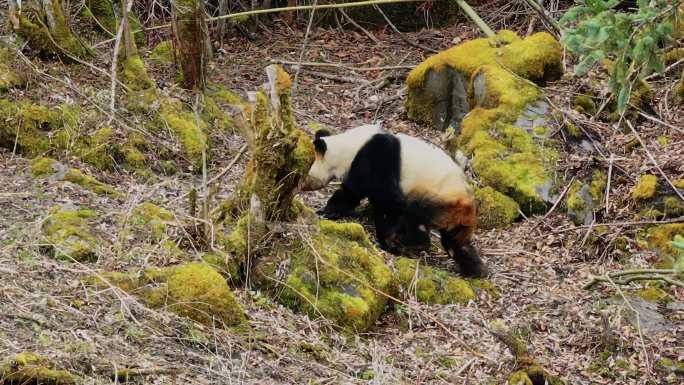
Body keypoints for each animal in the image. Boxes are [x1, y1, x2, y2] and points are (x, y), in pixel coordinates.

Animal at [300, 123, 486, 276]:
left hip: (440, 199)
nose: (300, 186)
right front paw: (325, 211)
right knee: (455, 242)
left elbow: (388, 201)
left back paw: (414, 242)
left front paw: (387, 240)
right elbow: (349, 194)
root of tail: (469, 205)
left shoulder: (375, 161)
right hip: (455, 214)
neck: (346, 148)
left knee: (414, 212)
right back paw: (474, 269)